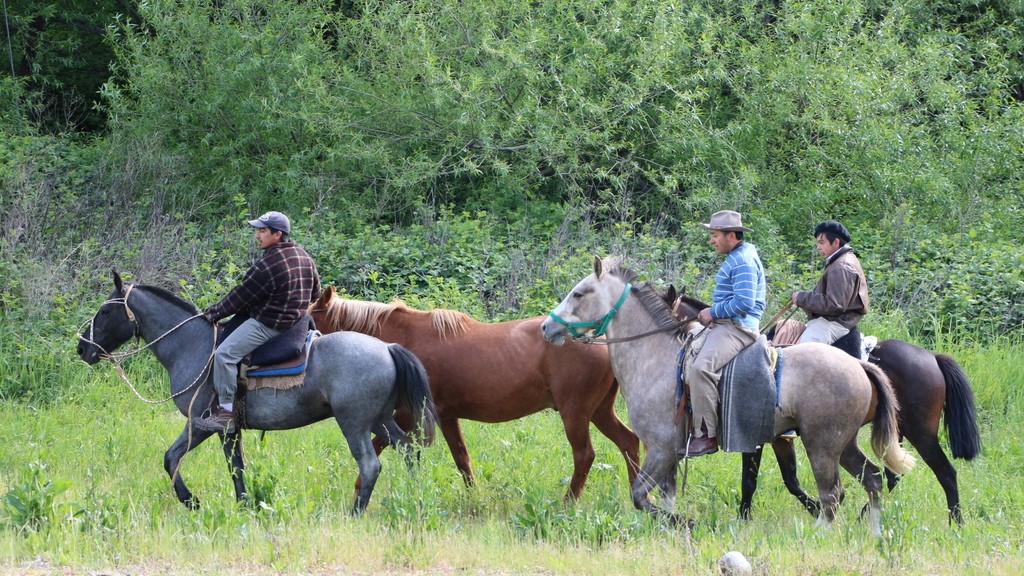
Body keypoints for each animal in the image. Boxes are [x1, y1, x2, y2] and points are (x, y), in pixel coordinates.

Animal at [75, 268, 436, 510]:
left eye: (106, 310)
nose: (82, 348)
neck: (192, 346)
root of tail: (387, 348)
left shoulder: (206, 424)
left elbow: (183, 459)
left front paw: (193, 501)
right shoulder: (225, 429)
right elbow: (207, 462)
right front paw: (238, 503)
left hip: (355, 423)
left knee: (371, 465)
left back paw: (356, 512)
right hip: (380, 420)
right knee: (410, 451)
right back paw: (413, 496)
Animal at [305, 286, 638, 498]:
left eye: (308, 317)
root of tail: (602, 341)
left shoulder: (409, 415)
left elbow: (376, 449)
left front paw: (359, 489)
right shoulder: (446, 417)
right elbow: (462, 459)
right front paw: (474, 499)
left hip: (576, 413)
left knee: (585, 455)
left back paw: (569, 501)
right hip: (600, 411)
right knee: (629, 442)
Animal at [540, 256, 917, 532]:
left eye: (580, 293)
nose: (547, 326)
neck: (658, 358)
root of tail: (860, 365)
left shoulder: (661, 449)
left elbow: (640, 497)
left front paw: (686, 522)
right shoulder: (670, 453)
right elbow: (664, 497)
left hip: (821, 445)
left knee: (833, 494)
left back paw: (820, 535)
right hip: (845, 444)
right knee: (873, 479)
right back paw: (874, 533)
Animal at [663, 284, 983, 522]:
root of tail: (932, 357)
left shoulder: (759, 437)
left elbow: (756, 480)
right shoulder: (778, 438)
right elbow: (788, 479)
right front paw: (814, 507)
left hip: (922, 433)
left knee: (944, 472)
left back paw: (956, 521)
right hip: (898, 433)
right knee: (892, 474)